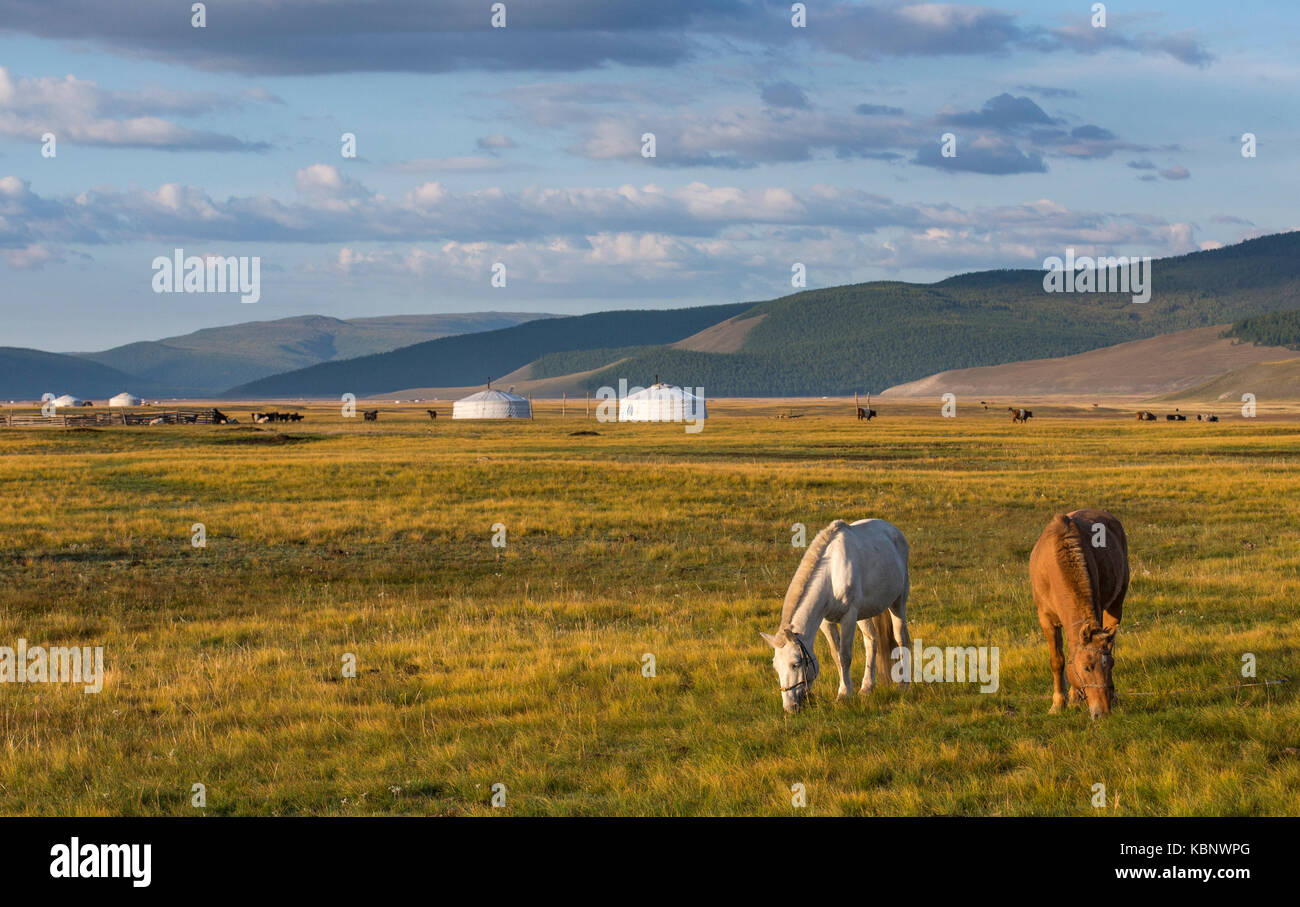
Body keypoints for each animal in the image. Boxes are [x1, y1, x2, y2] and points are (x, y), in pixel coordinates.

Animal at [761, 519, 912, 713]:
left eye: (795, 664)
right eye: (775, 666)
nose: (790, 706)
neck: (831, 574)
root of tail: (893, 531)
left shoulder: (848, 618)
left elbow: (845, 655)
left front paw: (844, 694)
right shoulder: (826, 622)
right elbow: (836, 655)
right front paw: (846, 688)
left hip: (898, 601)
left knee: (902, 638)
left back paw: (904, 685)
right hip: (865, 613)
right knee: (871, 641)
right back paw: (867, 687)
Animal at [1029, 509, 1129, 719]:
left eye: (1111, 664)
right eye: (1086, 668)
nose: (1103, 712)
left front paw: (1073, 698)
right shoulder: (1046, 620)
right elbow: (1057, 661)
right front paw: (1058, 703)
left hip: (1116, 605)